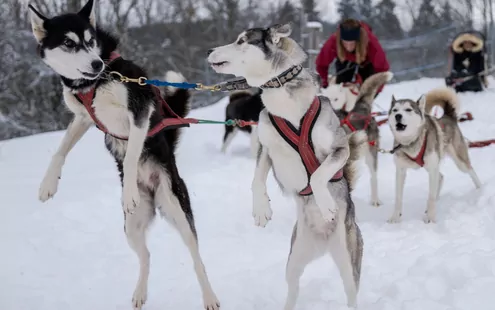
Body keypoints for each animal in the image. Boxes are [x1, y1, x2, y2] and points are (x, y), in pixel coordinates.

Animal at [28, 1, 219, 308]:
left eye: (90, 40)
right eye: (69, 43)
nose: (96, 63)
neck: (93, 83)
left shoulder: (140, 111)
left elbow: (130, 157)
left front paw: (128, 191)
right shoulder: (83, 118)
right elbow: (60, 150)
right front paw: (48, 184)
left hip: (177, 209)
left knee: (196, 258)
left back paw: (209, 296)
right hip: (131, 228)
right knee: (146, 256)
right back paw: (140, 292)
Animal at [390, 86, 482, 223]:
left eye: (408, 109)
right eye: (395, 110)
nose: (398, 116)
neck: (411, 142)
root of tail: (448, 116)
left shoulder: (432, 169)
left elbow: (431, 197)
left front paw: (431, 218)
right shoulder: (400, 171)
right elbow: (398, 197)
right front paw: (395, 217)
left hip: (459, 162)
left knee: (471, 171)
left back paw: (480, 190)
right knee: (441, 177)